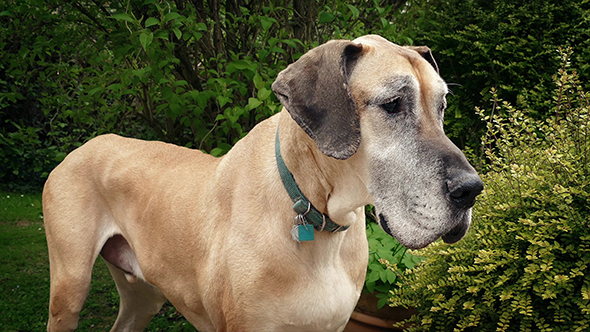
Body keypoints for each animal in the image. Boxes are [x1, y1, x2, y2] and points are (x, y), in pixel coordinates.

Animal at [44, 35, 484, 330]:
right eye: (392, 104)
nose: (471, 190)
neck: (314, 213)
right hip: (69, 286)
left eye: (442, 105)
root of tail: (86, 145)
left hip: (143, 293)